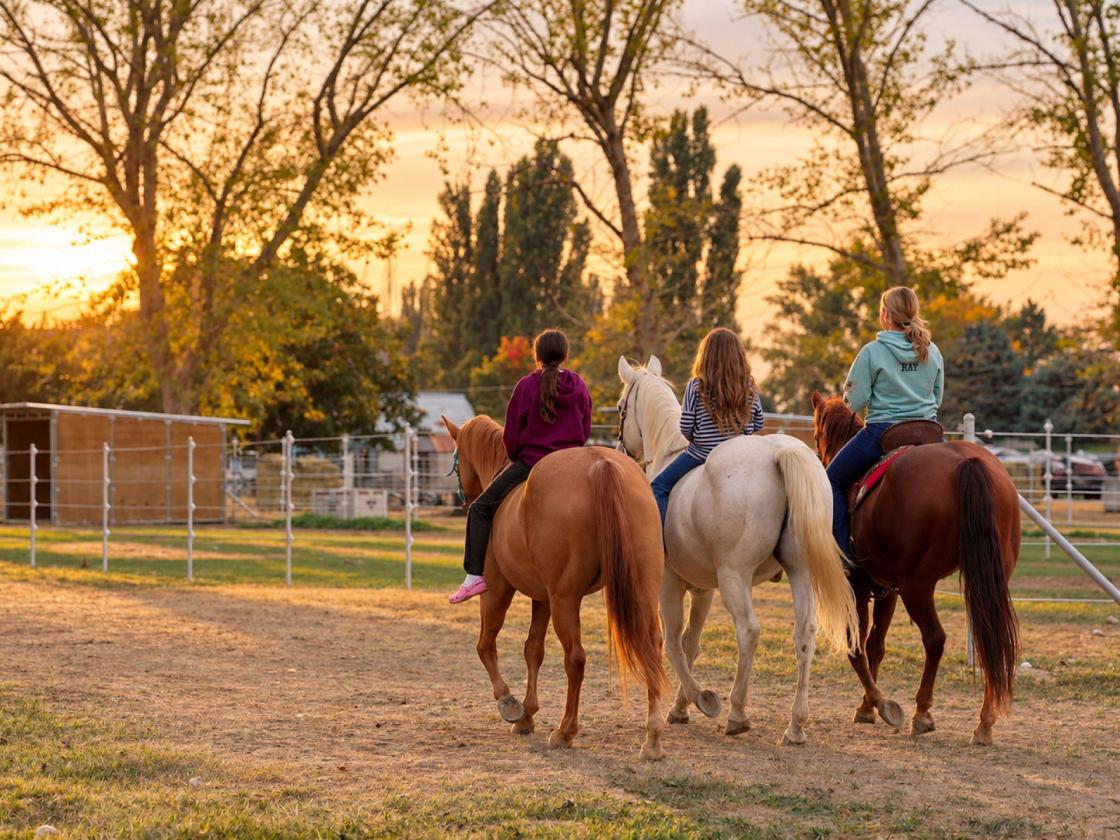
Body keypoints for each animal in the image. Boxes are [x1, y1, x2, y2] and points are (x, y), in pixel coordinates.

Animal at [441, 415, 670, 760]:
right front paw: (527, 715)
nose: (465, 502)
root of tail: (600, 464)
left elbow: (485, 645)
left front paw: (510, 704)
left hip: (565, 599)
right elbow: (533, 649)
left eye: (457, 463)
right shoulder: (543, 598)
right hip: (641, 587)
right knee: (652, 645)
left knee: (575, 659)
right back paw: (653, 738)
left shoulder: (498, 589)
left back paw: (565, 732)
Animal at [616, 357, 859, 745]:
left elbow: (673, 644)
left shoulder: (671, 586)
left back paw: (737, 713)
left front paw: (701, 700)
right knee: (804, 634)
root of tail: (779, 452)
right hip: (799, 573)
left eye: (621, 407)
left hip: (735, 578)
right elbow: (691, 643)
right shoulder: (703, 590)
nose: (622, 448)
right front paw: (682, 706)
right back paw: (795, 725)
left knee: (748, 631)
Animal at [810, 392, 1021, 745]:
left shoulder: (857, 587)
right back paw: (984, 722)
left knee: (935, 639)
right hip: (988, 580)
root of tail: (967, 462)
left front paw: (878, 705)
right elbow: (875, 645)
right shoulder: (886, 590)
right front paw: (867, 706)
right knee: (989, 637)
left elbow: (858, 646)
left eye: (815, 434)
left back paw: (922, 713)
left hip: (917, 586)